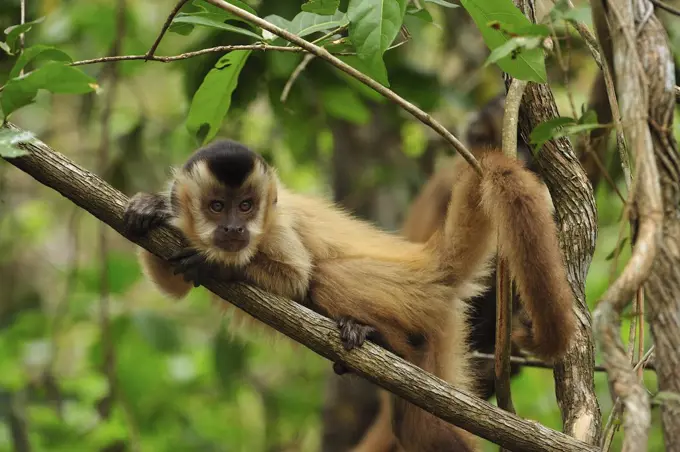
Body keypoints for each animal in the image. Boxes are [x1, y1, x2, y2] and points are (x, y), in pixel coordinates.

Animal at [123, 139, 572, 450]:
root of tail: (427, 259)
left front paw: (212, 264)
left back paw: (380, 338)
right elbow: (173, 285)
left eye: (246, 205)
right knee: (418, 428)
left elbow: (296, 279)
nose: (234, 228)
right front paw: (150, 207)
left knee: (323, 278)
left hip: (408, 291)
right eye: (218, 206)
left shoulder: (278, 223)